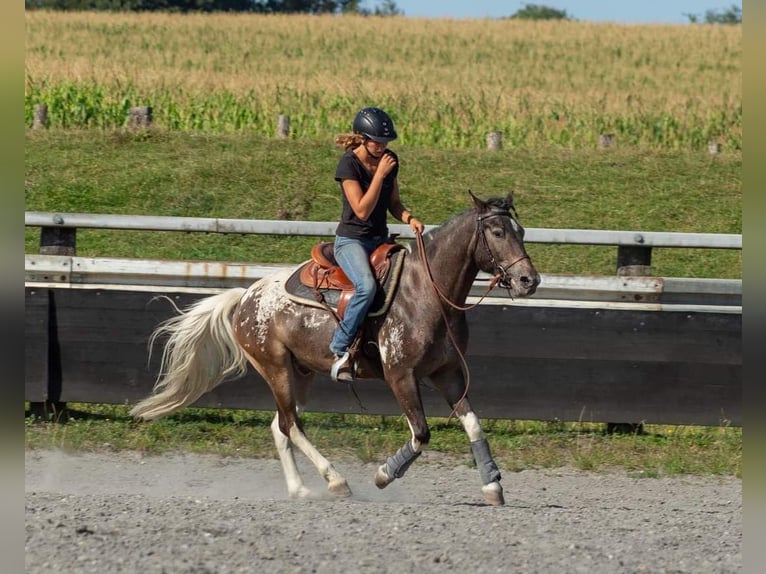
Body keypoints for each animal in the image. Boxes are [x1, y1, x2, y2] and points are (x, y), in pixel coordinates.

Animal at [130, 191, 540, 506]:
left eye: (520, 231)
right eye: (498, 231)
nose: (529, 280)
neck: (426, 292)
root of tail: (245, 296)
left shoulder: (447, 373)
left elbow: (473, 423)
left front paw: (493, 486)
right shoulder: (401, 376)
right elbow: (421, 433)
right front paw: (383, 474)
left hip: (301, 374)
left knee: (280, 426)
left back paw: (300, 489)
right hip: (275, 368)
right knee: (291, 425)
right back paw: (335, 480)